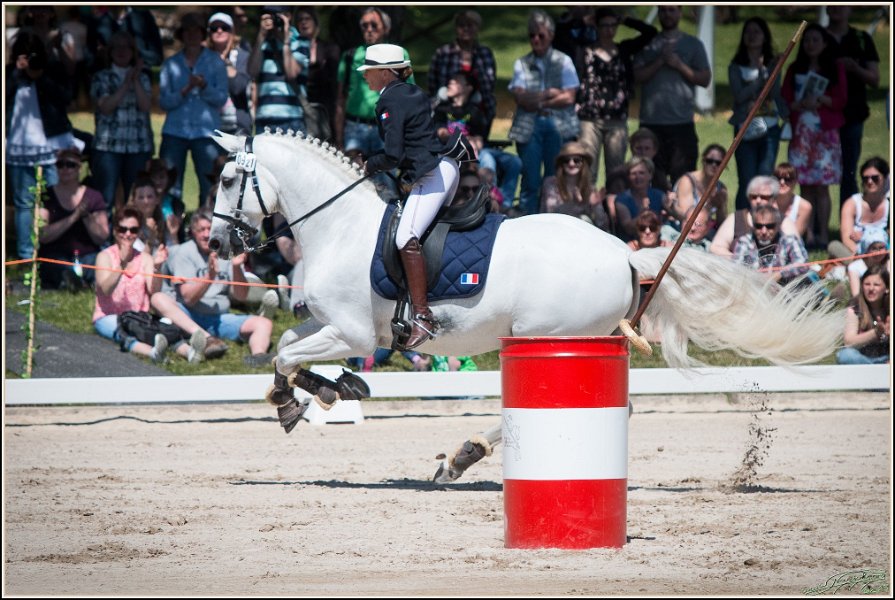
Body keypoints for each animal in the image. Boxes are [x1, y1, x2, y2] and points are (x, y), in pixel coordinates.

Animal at [208, 129, 842, 477]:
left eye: (225, 180)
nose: (217, 243)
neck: (337, 224)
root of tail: (624, 251)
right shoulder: (331, 324)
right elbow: (286, 346)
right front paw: (315, 393)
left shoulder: (353, 333)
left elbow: (286, 356)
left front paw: (308, 397)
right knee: (618, 408)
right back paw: (462, 456)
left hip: (556, 336)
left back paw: (462, 456)